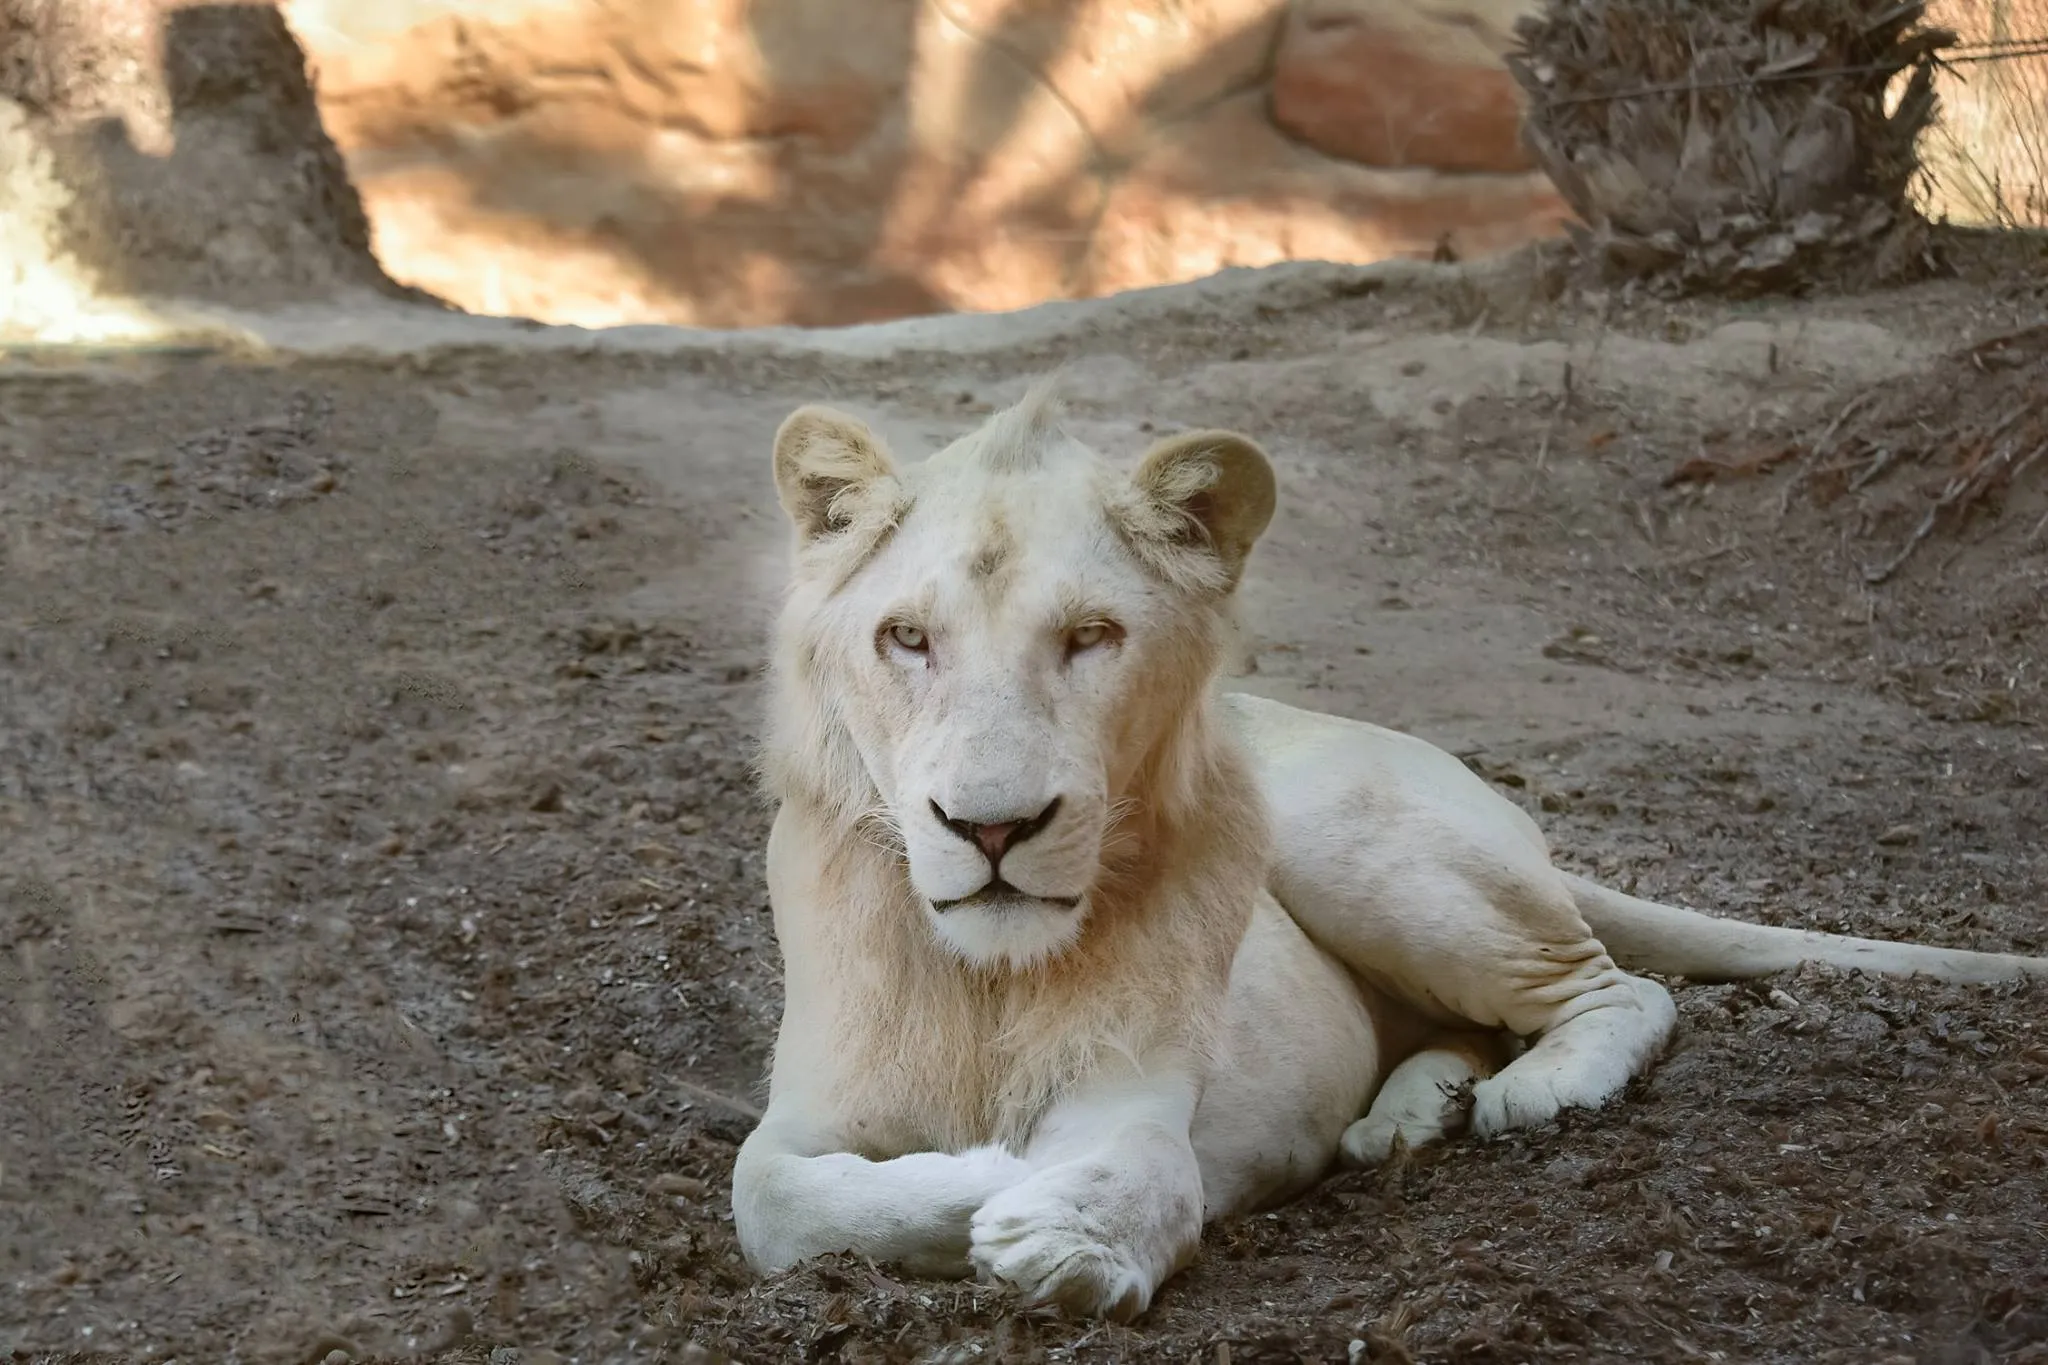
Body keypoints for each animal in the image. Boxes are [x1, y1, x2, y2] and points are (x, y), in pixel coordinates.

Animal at [729, 378, 2039, 1317]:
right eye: (907, 638)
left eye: (1090, 637)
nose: (992, 826)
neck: (985, 979)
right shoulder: (802, 1114)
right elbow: (774, 1194)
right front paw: (982, 1177)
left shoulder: (1139, 1089)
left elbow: (1141, 1167)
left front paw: (1050, 1224)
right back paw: (1406, 1115)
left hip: (1346, 836)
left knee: (1622, 988)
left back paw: (1526, 1093)